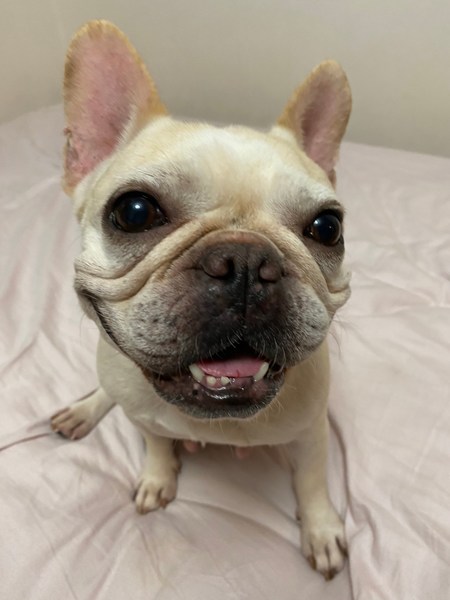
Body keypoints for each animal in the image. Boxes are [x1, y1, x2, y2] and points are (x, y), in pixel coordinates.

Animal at [51, 20, 352, 580]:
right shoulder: (144, 419)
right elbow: (155, 444)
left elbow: (312, 481)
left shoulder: (312, 433)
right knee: (108, 391)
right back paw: (83, 410)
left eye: (327, 227)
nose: (247, 262)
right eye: (134, 212)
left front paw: (321, 530)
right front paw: (157, 477)